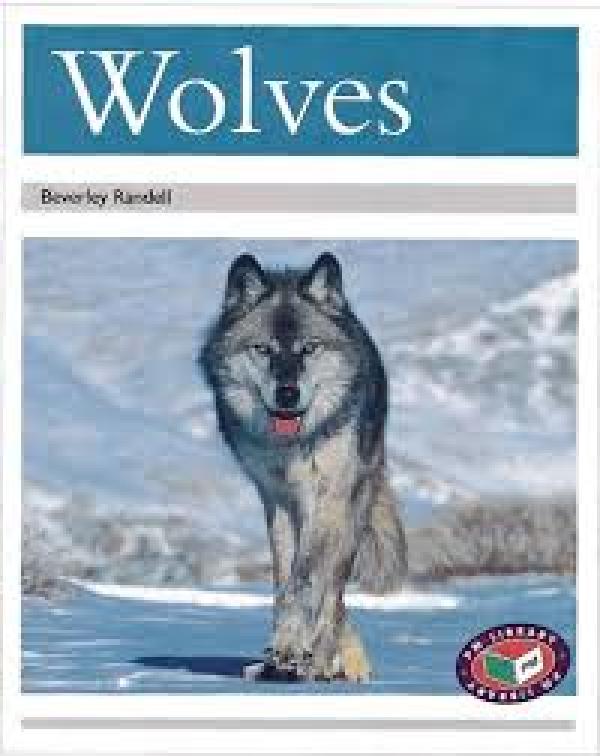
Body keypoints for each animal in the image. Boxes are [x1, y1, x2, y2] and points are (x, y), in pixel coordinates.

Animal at [201, 252, 407, 682]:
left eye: (309, 348)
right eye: (262, 349)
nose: (287, 393)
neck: (291, 445)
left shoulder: (326, 498)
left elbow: (306, 580)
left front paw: (295, 649)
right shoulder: (275, 499)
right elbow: (283, 582)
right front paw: (281, 651)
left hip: (352, 514)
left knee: (333, 593)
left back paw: (322, 661)